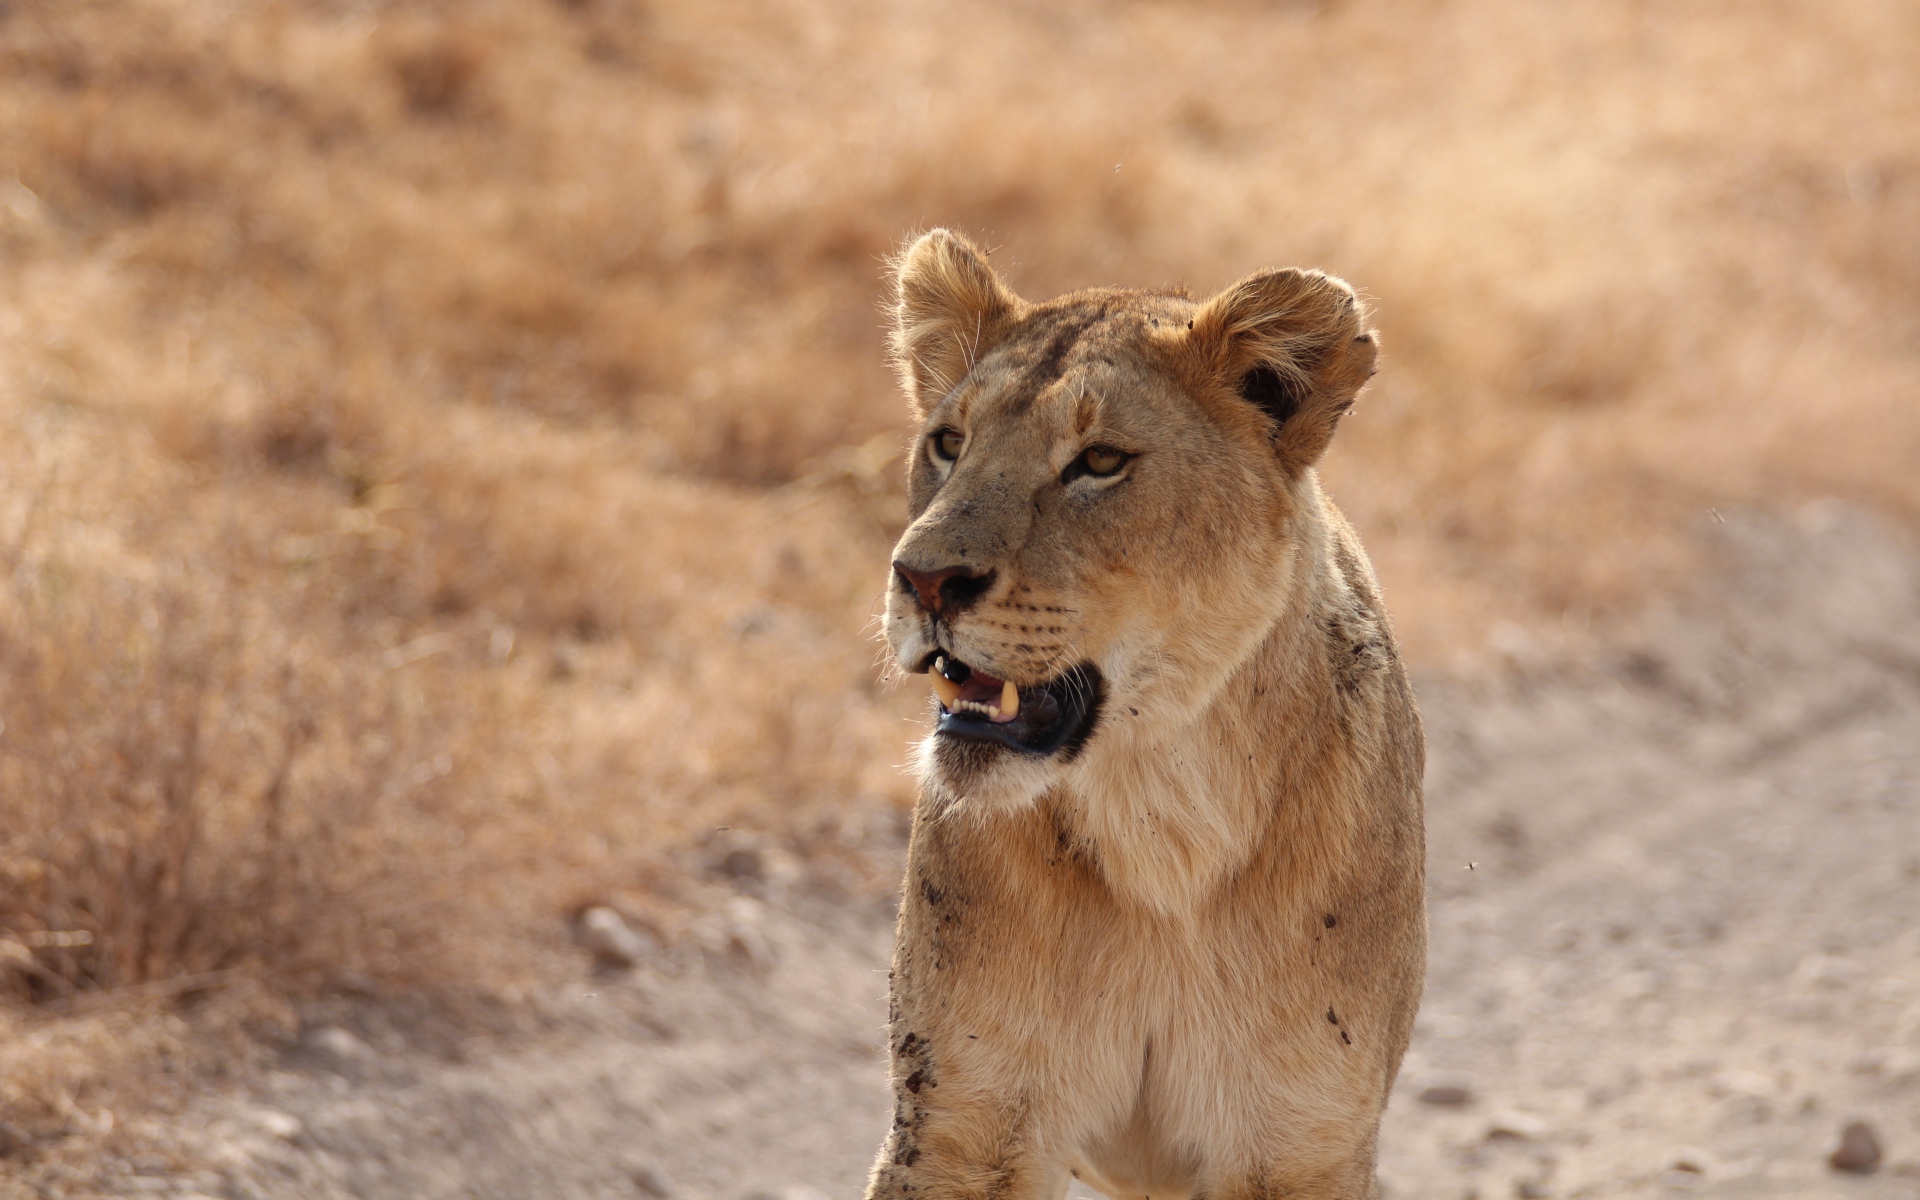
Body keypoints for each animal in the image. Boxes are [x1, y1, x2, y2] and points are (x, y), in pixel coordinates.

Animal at [867, 230, 1426, 1200]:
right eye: (948, 442)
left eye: (1099, 463)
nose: (924, 579)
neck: (1160, 815)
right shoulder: (960, 1117)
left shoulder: (1298, 1136)